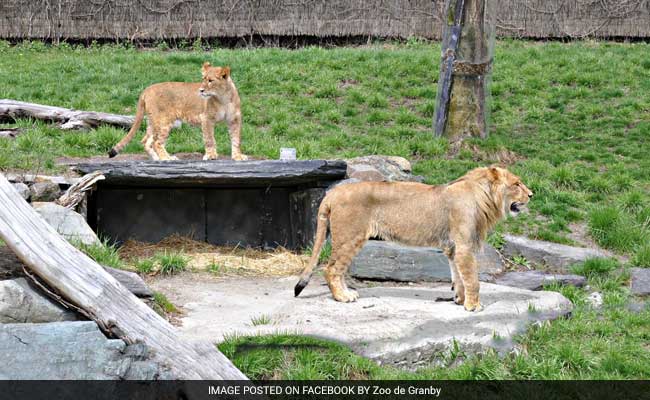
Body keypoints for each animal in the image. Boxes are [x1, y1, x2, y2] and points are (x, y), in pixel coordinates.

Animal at [108, 62, 247, 161]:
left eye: (210, 80)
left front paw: (238, 156)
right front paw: (211, 155)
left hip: (153, 121)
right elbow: (209, 139)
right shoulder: (206, 119)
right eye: (203, 79)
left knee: (146, 141)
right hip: (164, 121)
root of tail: (147, 89)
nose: (201, 90)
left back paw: (157, 159)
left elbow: (236, 139)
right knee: (157, 142)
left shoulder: (234, 120)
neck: (223, 98)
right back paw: (167, 159)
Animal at [294, 165, 533, 312]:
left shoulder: (453, 247)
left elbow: (458, 277)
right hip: (350, 236)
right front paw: (473, 306)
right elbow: (473, 279)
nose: (532, 195)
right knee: (331, 269)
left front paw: (460, 300)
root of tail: (332, 193)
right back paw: (342, 297)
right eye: (517, 184)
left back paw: (347, 293)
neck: (484, 198)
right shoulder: (465, 245)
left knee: (338, 269)